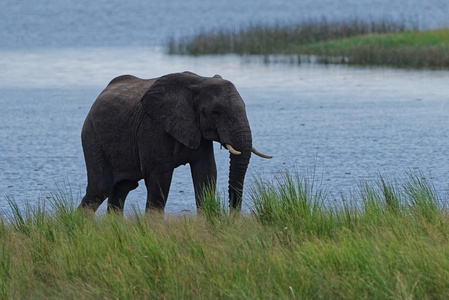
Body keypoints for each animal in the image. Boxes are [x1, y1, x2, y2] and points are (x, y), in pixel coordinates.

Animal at [78, 72, 270, 214]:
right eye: (216, 112)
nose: (233, 217)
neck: (200, 81)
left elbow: (206, 172)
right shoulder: (153, 128)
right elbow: (159, 178)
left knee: (121, 189)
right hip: (92, 137)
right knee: (99, 189)